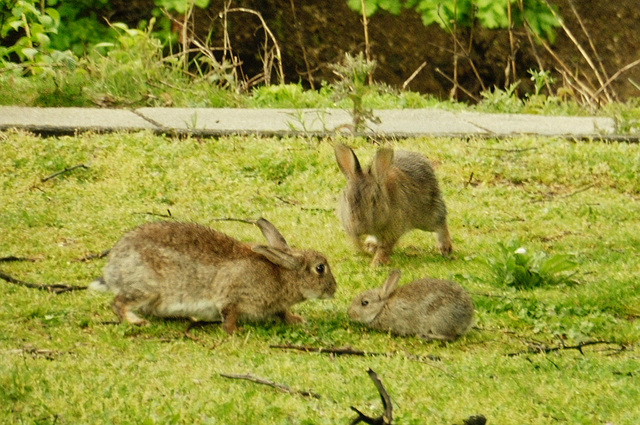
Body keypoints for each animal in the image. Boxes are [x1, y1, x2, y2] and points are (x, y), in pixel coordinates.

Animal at [93, 217, 340, 332]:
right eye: (320, 268)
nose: (334, 290)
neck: (283, 275)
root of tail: (113, 265)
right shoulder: (233, 295)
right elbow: (229, 314)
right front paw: (235, 331)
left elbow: (282, 313)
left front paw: (298, 320)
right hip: (146, 287)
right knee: (119, 303)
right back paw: (136, 321)